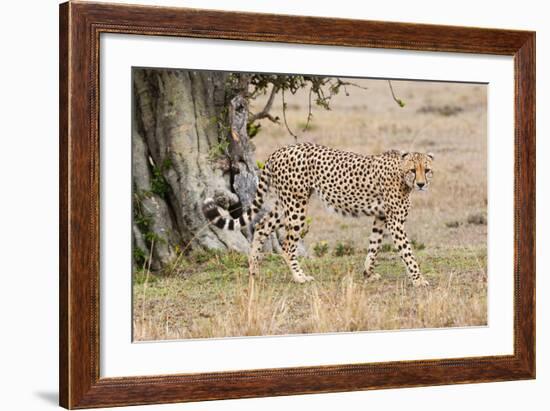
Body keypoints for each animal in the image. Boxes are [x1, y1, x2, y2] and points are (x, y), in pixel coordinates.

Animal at [203, 143, 436, 288]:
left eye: (427, 170)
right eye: (413, 170)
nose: (421, 184)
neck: (401, 175)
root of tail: (280, 150)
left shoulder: (380, 217)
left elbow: (374, 247)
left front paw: (368, 273)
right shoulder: (395, 221)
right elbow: (407, 252)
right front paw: (419, 279)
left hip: (285, 203)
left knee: (261, 226)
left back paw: (254, 270)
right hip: (296, 206)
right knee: (287, 245)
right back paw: (299, 277)